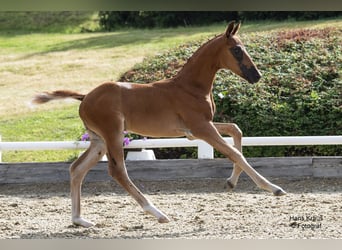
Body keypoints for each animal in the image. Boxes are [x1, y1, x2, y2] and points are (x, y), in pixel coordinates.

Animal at [34, 21, 286, 228]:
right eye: (236, 50)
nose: (256, 76)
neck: (190, 87)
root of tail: (85, 97)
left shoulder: (198, 130)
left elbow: (236, 130)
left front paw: (231, 182)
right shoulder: (201, 128)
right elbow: (235, 153)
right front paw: (273, 188)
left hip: (98, 141)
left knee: (77, 169)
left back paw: (79, 220)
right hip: (113, 134)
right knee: (117, 171)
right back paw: (157, 213)